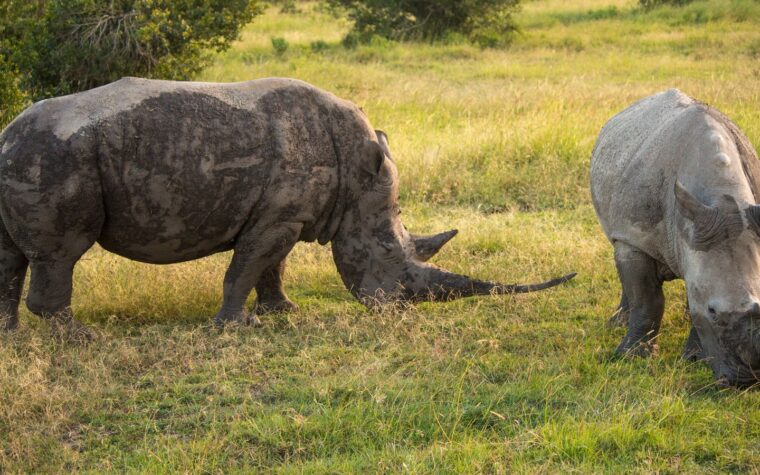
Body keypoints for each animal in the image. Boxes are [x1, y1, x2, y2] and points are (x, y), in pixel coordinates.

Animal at [0, 77, 574, 341]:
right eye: (390, 257)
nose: (398, 310)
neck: (356, 179)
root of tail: (7, 135)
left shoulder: (285, 214)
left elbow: (270, 267)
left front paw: (283, 312)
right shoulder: (279, 216)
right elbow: (247, 266)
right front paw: (234, 328)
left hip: (28, 158)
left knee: (11, 255)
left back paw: (11, 337)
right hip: (53, 158)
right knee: (61, 254)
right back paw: (79, 337)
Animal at [591, 88, 760, 387]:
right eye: (713, 311)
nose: (745, 382)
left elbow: (692, 301)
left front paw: (694, 359)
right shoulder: (635, 236)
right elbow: (647, 299)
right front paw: (632, 357)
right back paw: (617, 324)